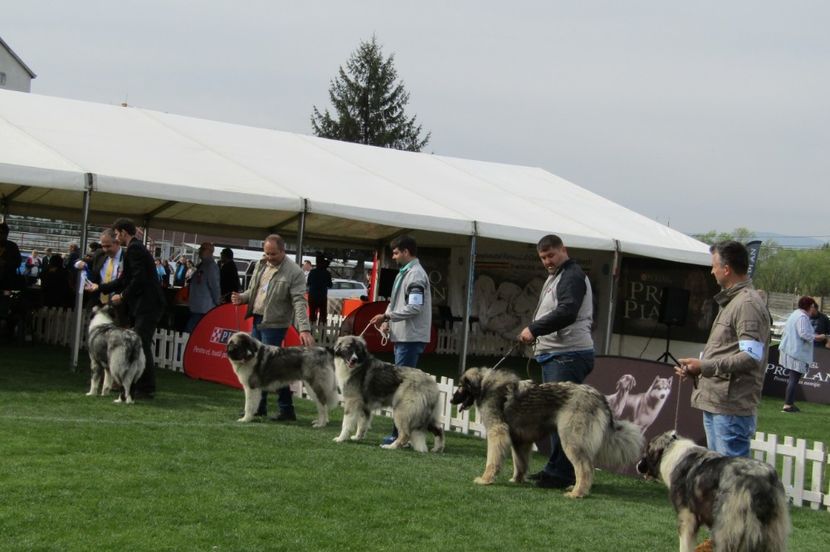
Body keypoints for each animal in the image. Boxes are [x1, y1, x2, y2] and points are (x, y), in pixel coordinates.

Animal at [456, 368, 644, 498]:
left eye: (461, 387)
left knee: (585, 468)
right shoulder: (521, 441)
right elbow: (520, 463)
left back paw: (577, 493)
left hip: (571, 441)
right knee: (587, 468)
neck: (484, 384)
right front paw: (517, 480)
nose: (451, 399)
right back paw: (576, 488)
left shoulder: (498, 432)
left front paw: (486, 479)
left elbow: (492, 460)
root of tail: (598, 396)